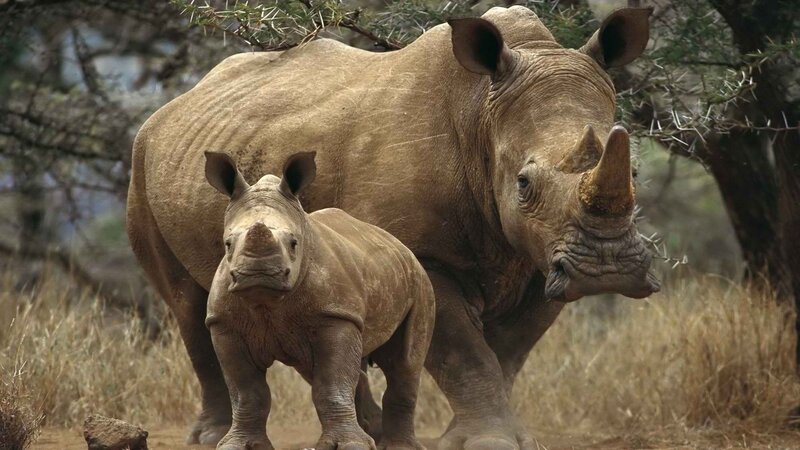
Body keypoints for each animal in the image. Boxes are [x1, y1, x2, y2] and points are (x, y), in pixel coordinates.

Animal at [204, 151, 434, 450]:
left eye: (293, 243)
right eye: (228, 244)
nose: (259, 274)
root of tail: (399, 244)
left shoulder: (336, 315)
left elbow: (332, 385)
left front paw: (350, 445)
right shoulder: (224, 324)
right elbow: (246, 393)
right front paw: (236, 445)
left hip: (420, 280)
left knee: (404, 363)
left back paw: (396, 446)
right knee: (320, 370)